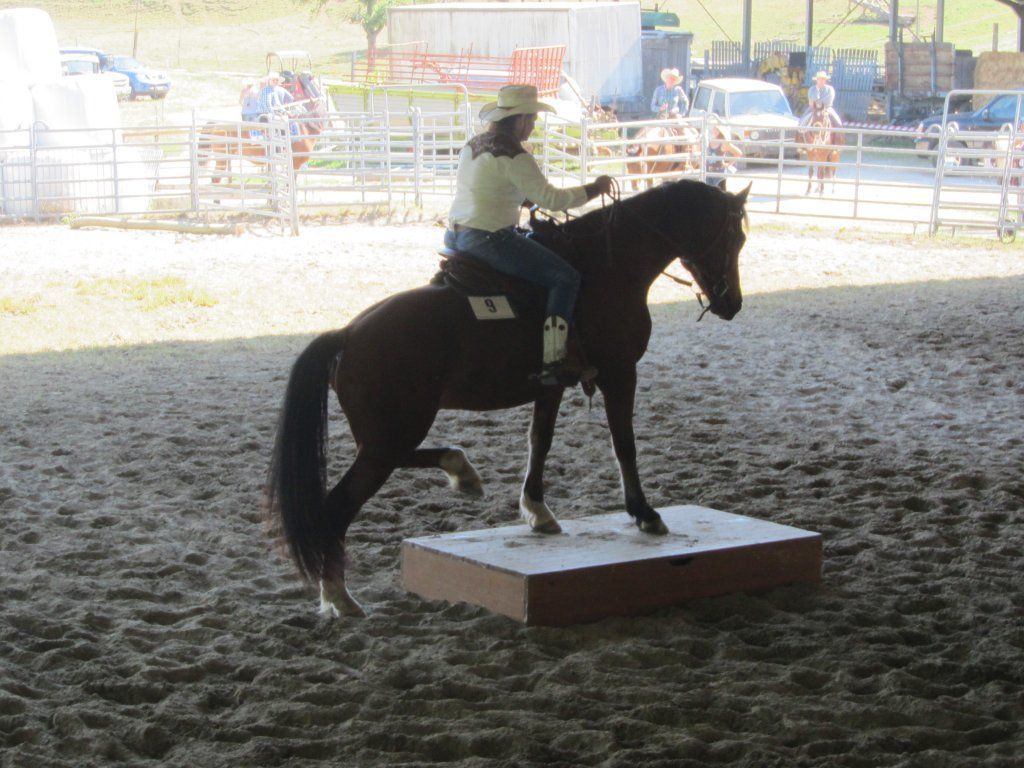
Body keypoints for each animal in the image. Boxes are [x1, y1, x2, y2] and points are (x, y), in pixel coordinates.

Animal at [266, 179, 750, 617]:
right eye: (735, 237)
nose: (733, 305)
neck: (606, 268)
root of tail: (346, 335)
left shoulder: (551, 384)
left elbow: (540, 441)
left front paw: (537, 510)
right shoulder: (620, 373)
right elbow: (624, 445)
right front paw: (645, 513)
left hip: (387, 437)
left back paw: (461, 472)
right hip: (390, 437)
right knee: (336, 507)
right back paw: (341, 598)